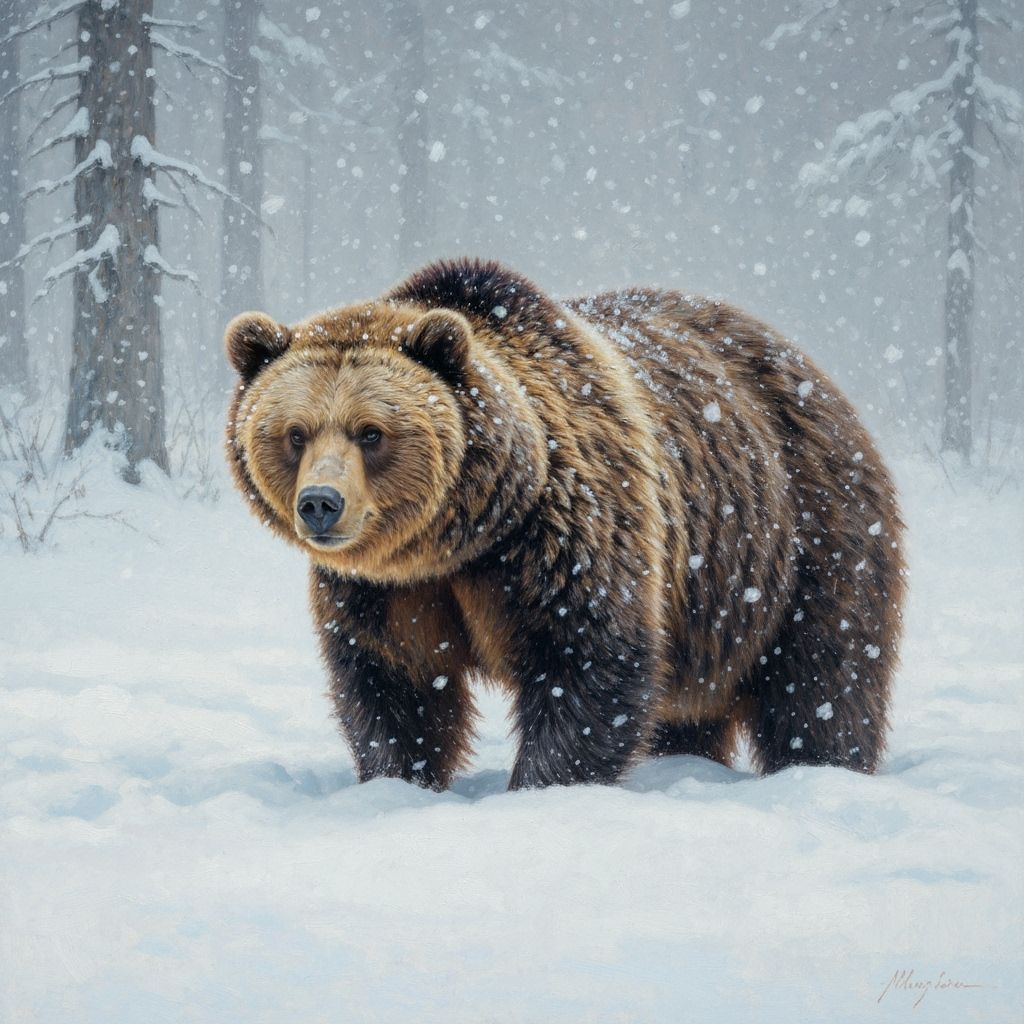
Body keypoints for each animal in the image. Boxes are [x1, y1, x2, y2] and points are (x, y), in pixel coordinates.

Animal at [225, 258, 905, 791]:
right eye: (294, 433)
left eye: (371, 432)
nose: (320, 502)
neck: (461, 539)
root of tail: (811, 369)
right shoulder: (386, 590)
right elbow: (392, 680)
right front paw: (398, 778)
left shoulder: (566, 529)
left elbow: (586, 661)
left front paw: (540, 785)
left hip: (797, 538)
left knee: (823, 676)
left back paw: (822, 766)